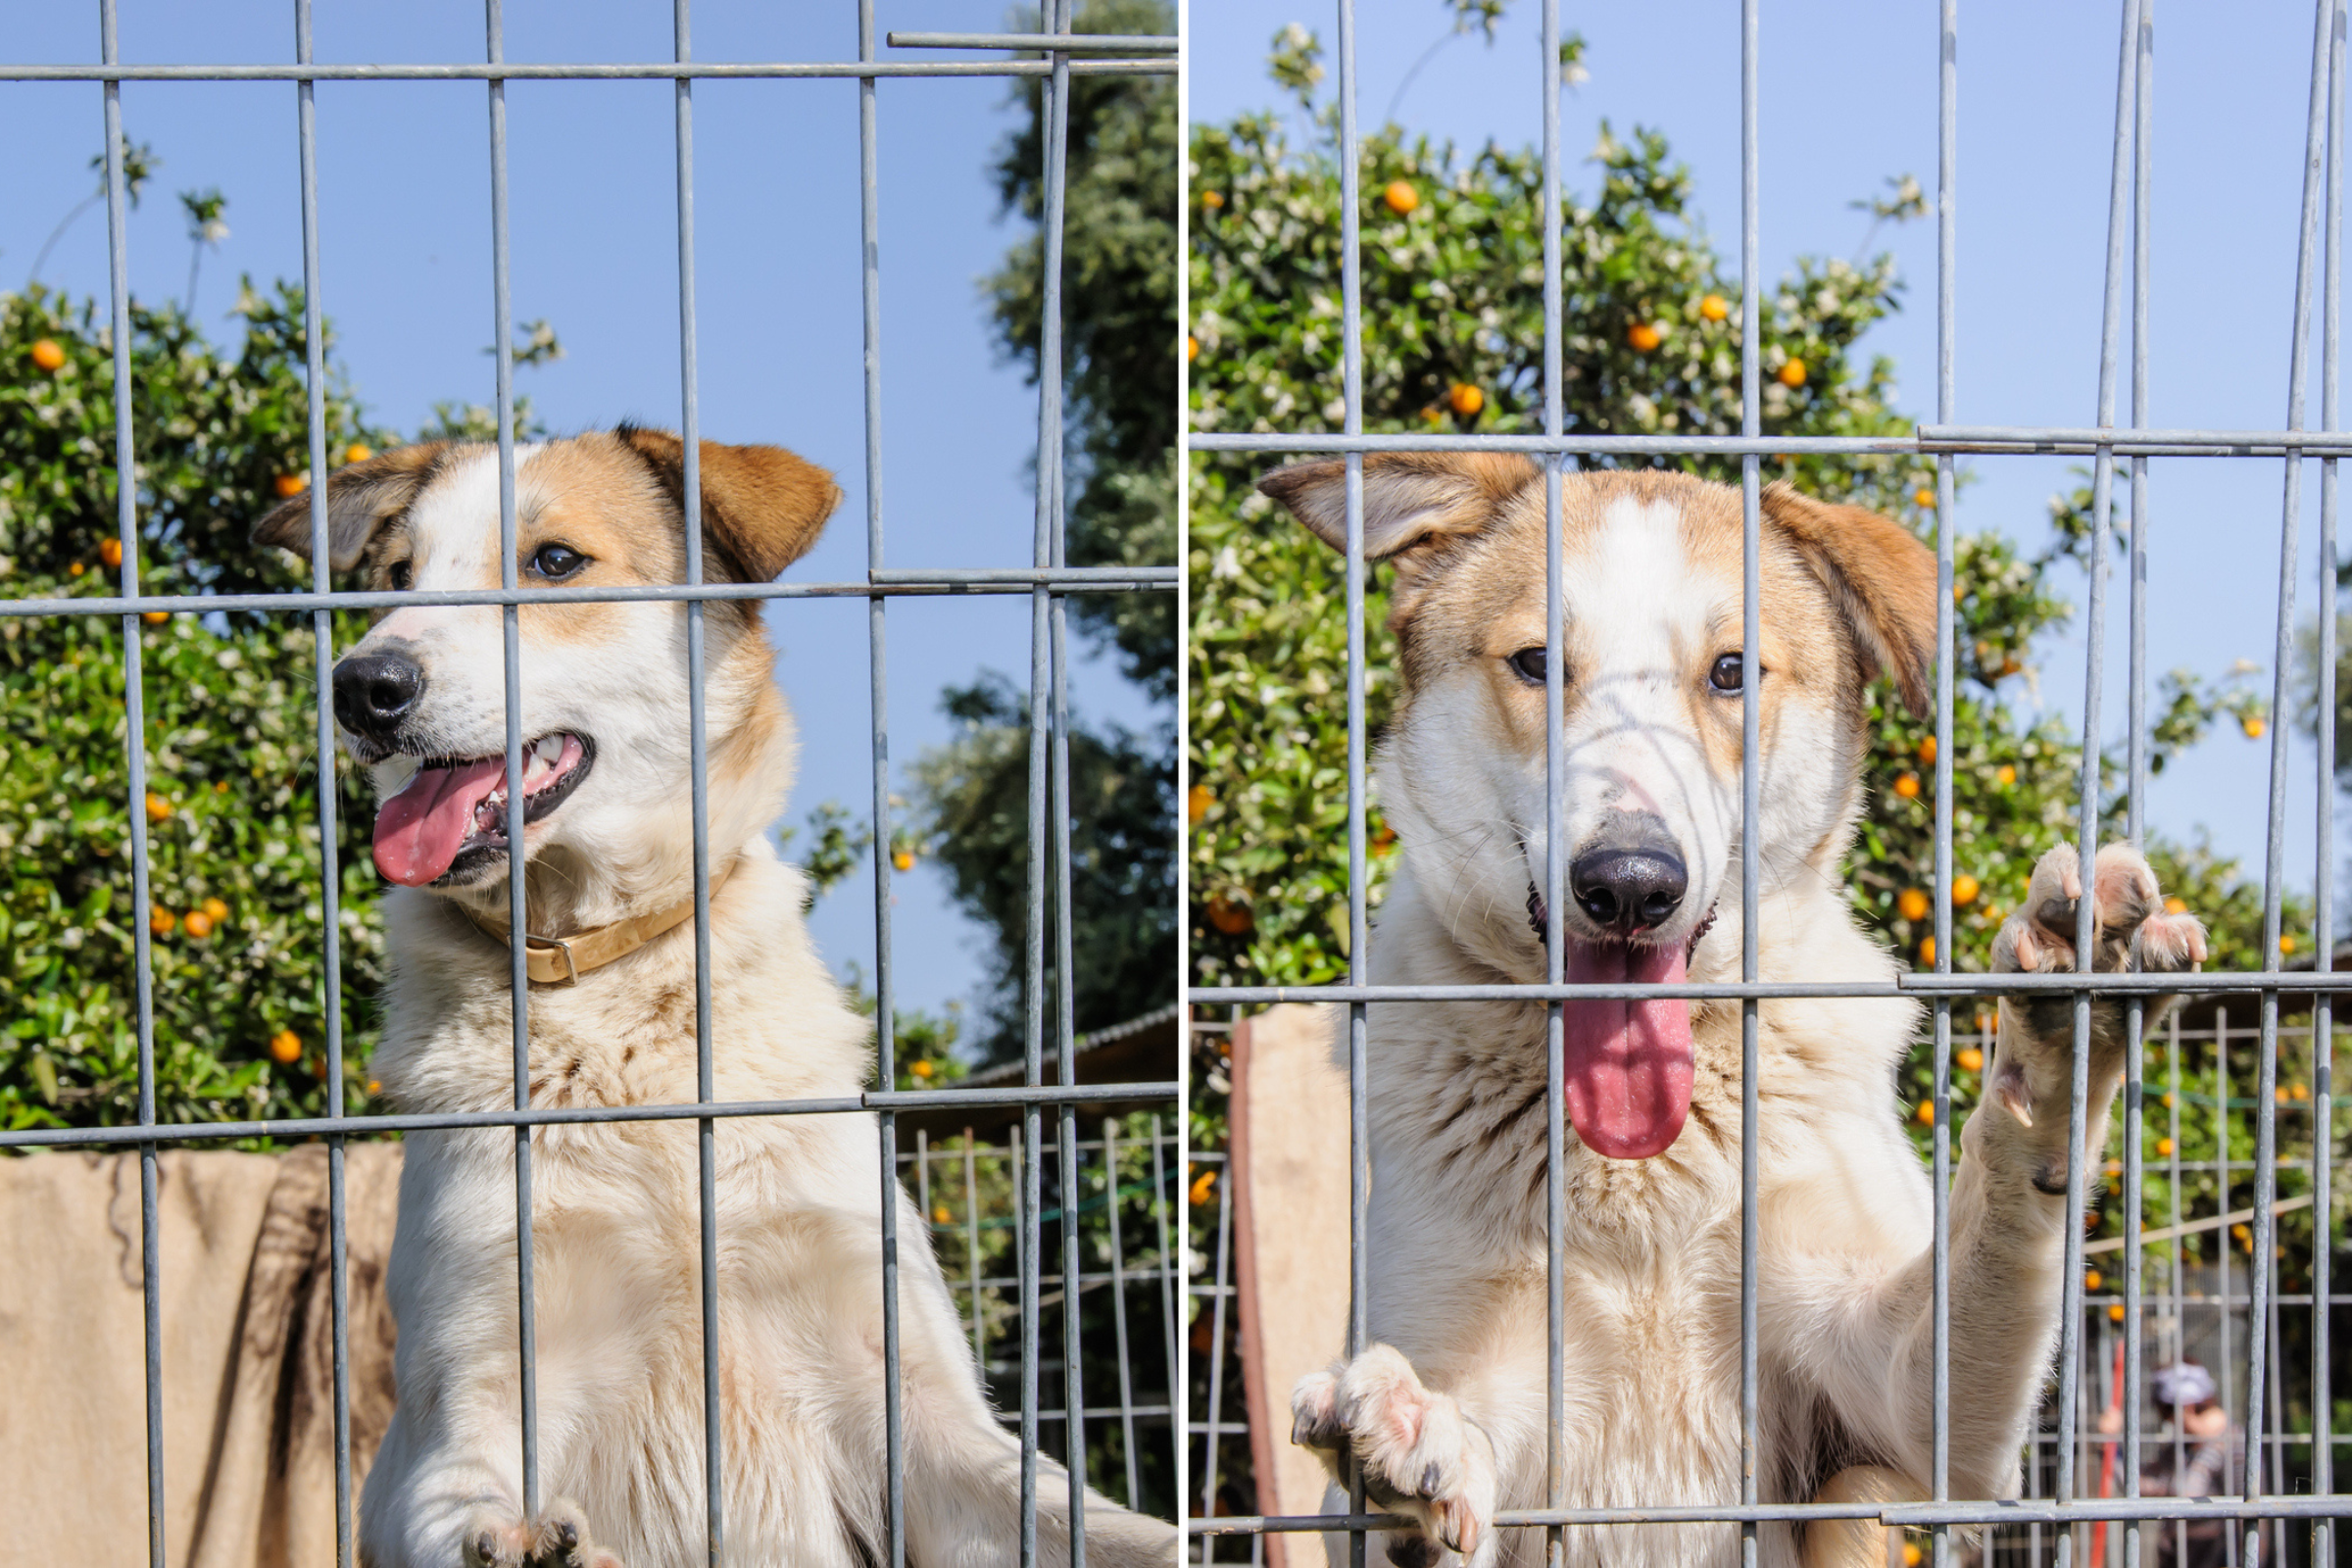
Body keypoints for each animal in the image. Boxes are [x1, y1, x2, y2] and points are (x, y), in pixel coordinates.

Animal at [257, 429, 1176, 1568]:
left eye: (554, 563)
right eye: (393, 579)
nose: (361, 686)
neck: (611, 992)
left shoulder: (914, 1411)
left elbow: (1078, 1514)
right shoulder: (463, 1400)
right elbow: (466, 1504)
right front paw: (527, 1543)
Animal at [1250, 453, 2201, 1568]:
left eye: (1733, 671)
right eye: (1537, 663)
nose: (1628, 884)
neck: (1641, 1191)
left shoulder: (1909, 1417)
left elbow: (1998, 1219)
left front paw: (2065, 1024)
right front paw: (1406, 1448)